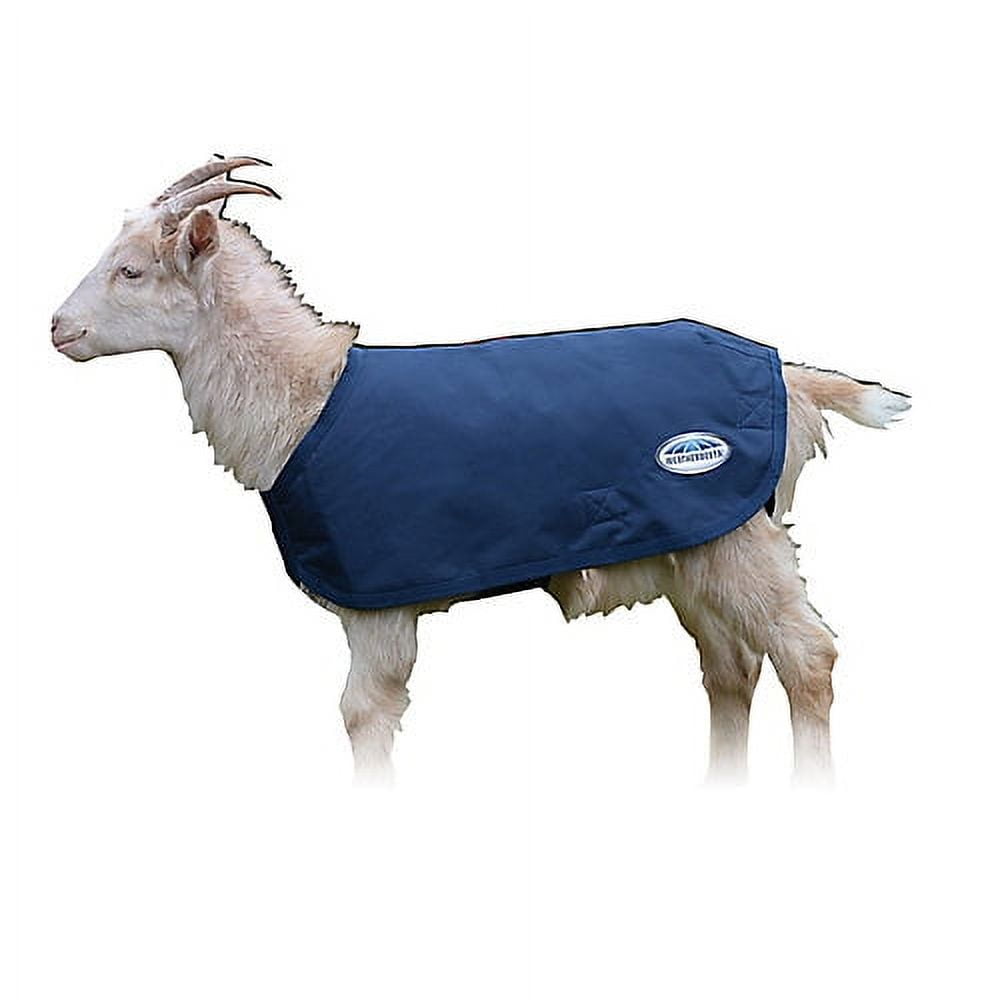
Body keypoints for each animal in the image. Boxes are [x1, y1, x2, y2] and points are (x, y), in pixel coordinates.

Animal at [51, 157, 910, 784]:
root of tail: (791, 376)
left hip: (734, 536)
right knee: (729, 667)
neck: (307, 399)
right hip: (693, 543)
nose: (58, 327)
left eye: (131, 271)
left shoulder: (379, 602)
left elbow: (363, 713)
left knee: (808, 656)